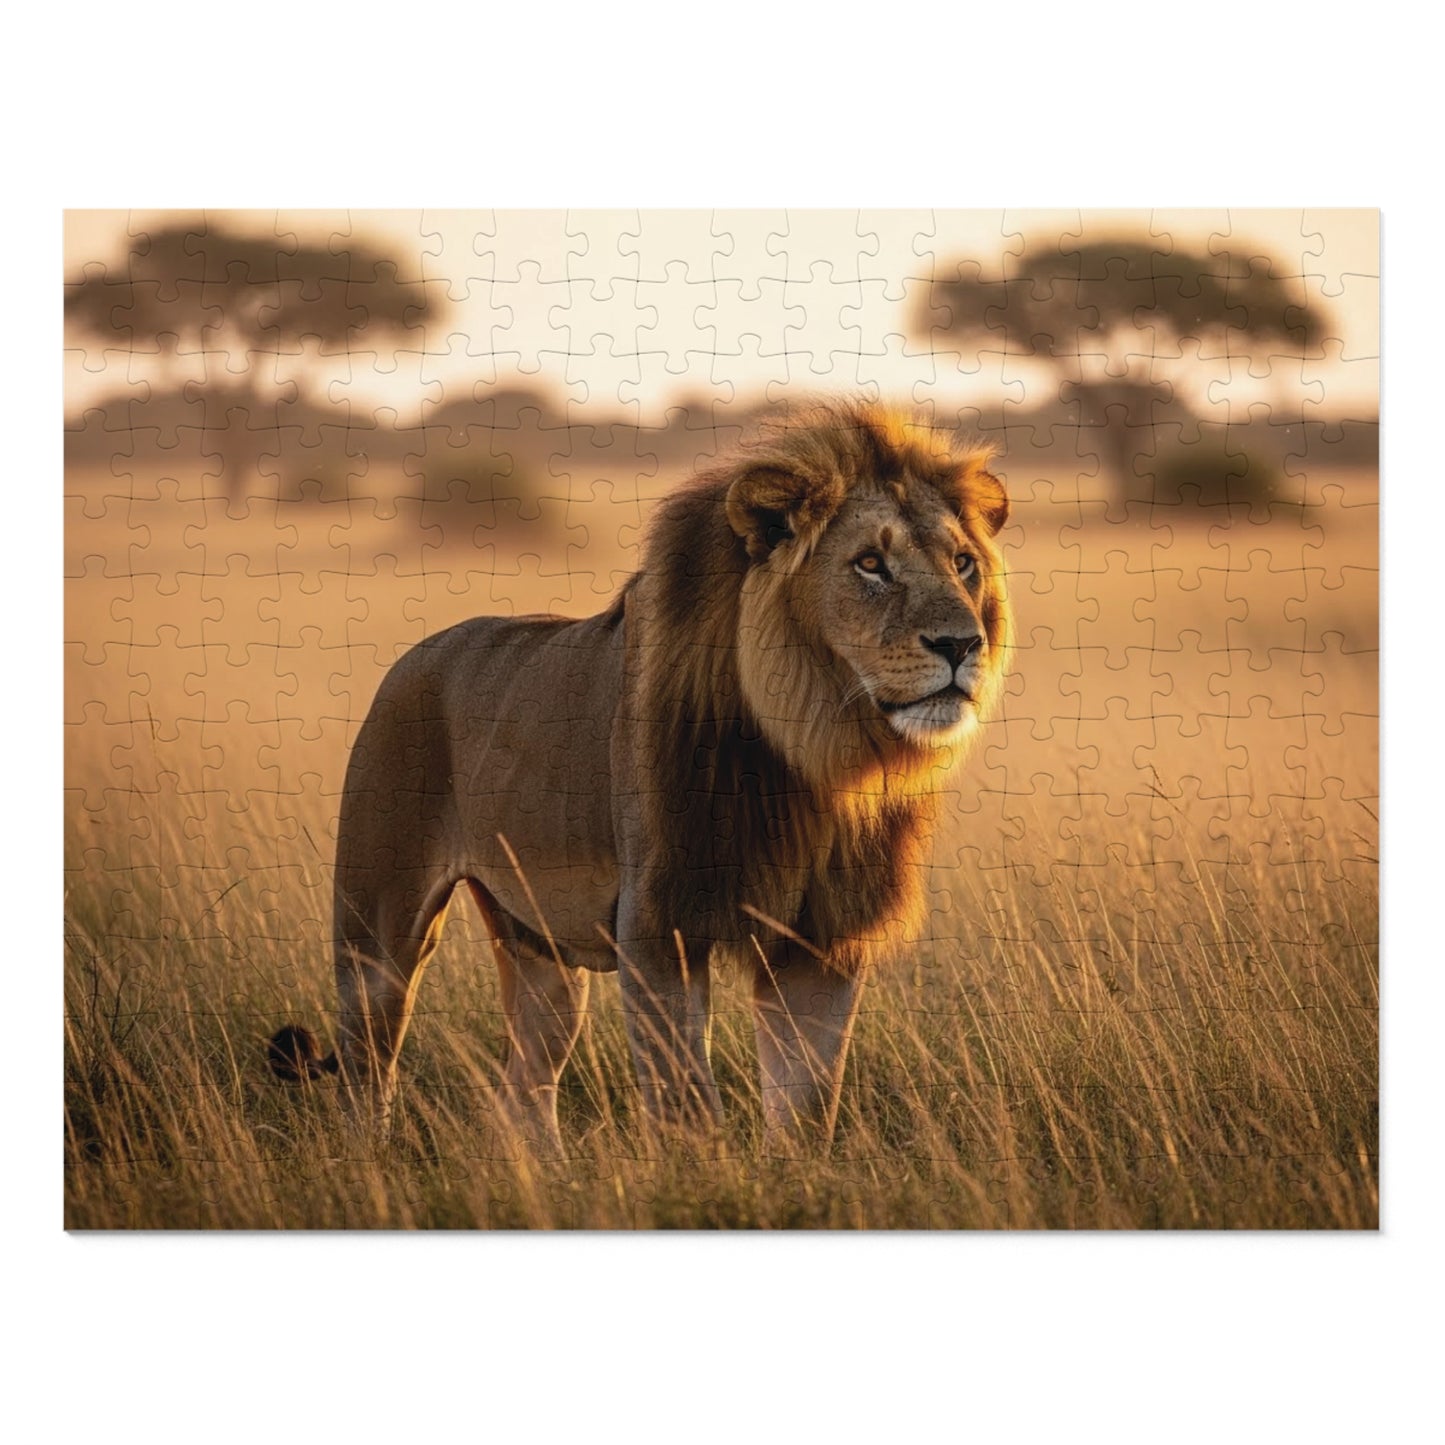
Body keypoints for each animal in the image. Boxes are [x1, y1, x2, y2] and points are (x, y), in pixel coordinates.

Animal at [269, 398, 1012, 1152]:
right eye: (869, 564)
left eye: (962, 563)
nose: (961, 644)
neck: (815, 758)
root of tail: (415, 654)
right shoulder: (658, 923)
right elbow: (687, 1100)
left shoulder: (822, 938)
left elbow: (807, 1102)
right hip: (377, 933)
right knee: (367, 1073)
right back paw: (372, 1157)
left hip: (541, 952)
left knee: (523, 1089)